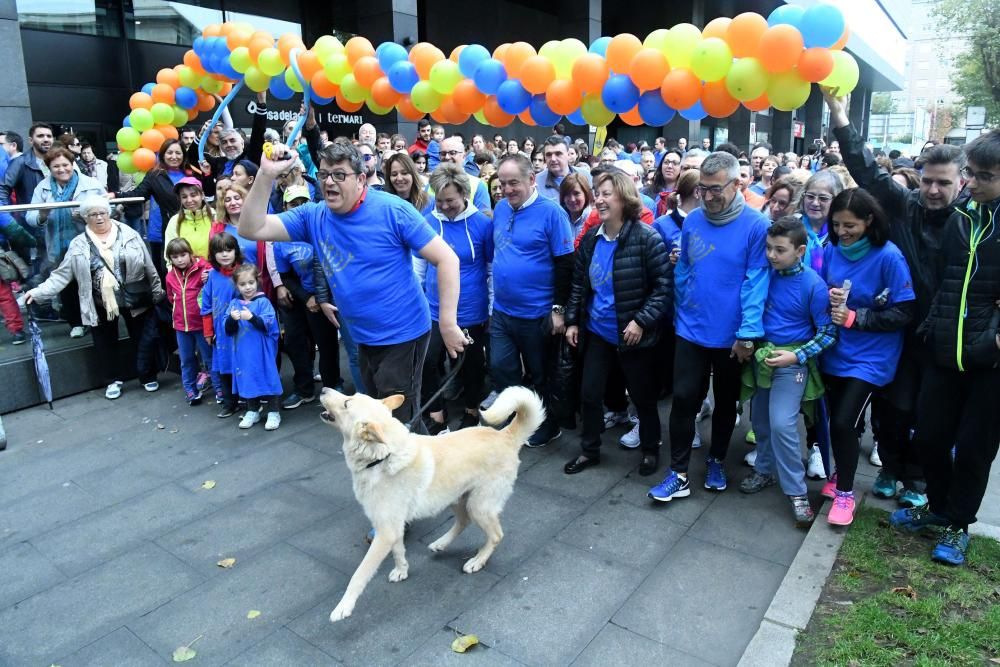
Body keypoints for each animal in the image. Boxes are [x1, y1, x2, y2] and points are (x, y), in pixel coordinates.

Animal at [320, 384, 544, 624]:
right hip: (454, 498)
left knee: (495, 535)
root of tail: (505, 435)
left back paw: (477, 560)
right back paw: (441, 543)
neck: (381, 457)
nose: (323, 389)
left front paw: (344, 606)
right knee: (463, 522)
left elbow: (359, 574)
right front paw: (402, 571)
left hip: (479, 506)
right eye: (350, 396)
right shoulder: (392, 527)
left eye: (347, 403)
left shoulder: (385, 532)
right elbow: (398, 551)